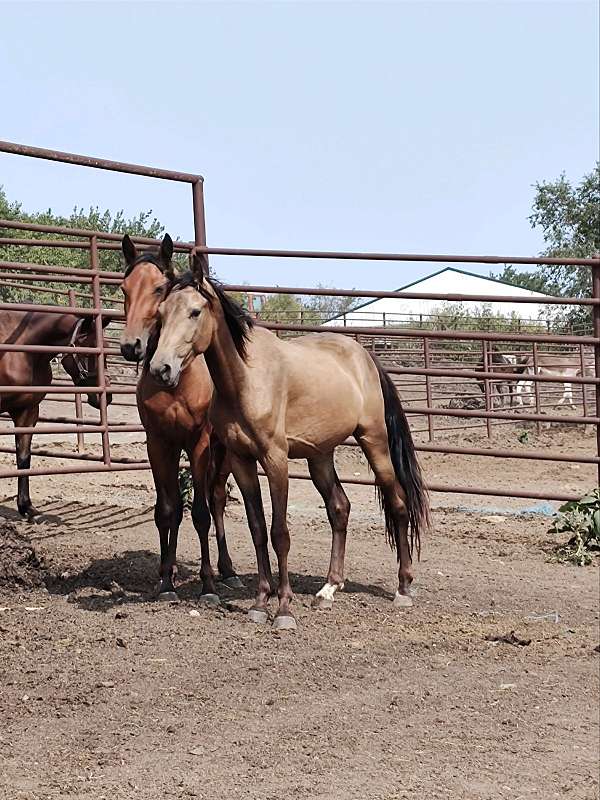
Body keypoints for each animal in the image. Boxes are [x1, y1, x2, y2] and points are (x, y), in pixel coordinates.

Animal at [117, 231, 239, 600]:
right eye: (124, 289)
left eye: (159, 288)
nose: (131, 347)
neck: (176, 381)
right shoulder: (158, 443)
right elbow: (167, 511)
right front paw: (165, 581)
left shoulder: (198, 442)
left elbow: (200, 512)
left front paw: (207, 585)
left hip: (223, 452)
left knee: (215, 500)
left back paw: (227, 571)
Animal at [149, 250, 432, 632]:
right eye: (162, 312)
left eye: (195, 311)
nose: (160, 369)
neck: (245, 378)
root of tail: (365, 357)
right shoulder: (242, 461)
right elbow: (257, 529)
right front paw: (259, 603)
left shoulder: (275, 460)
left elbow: (279, 532)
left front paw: (283, 609)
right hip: (320, 455)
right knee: (339, 508)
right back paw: (328, 589)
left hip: (374, 442)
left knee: (398, 503)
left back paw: (403, 587)